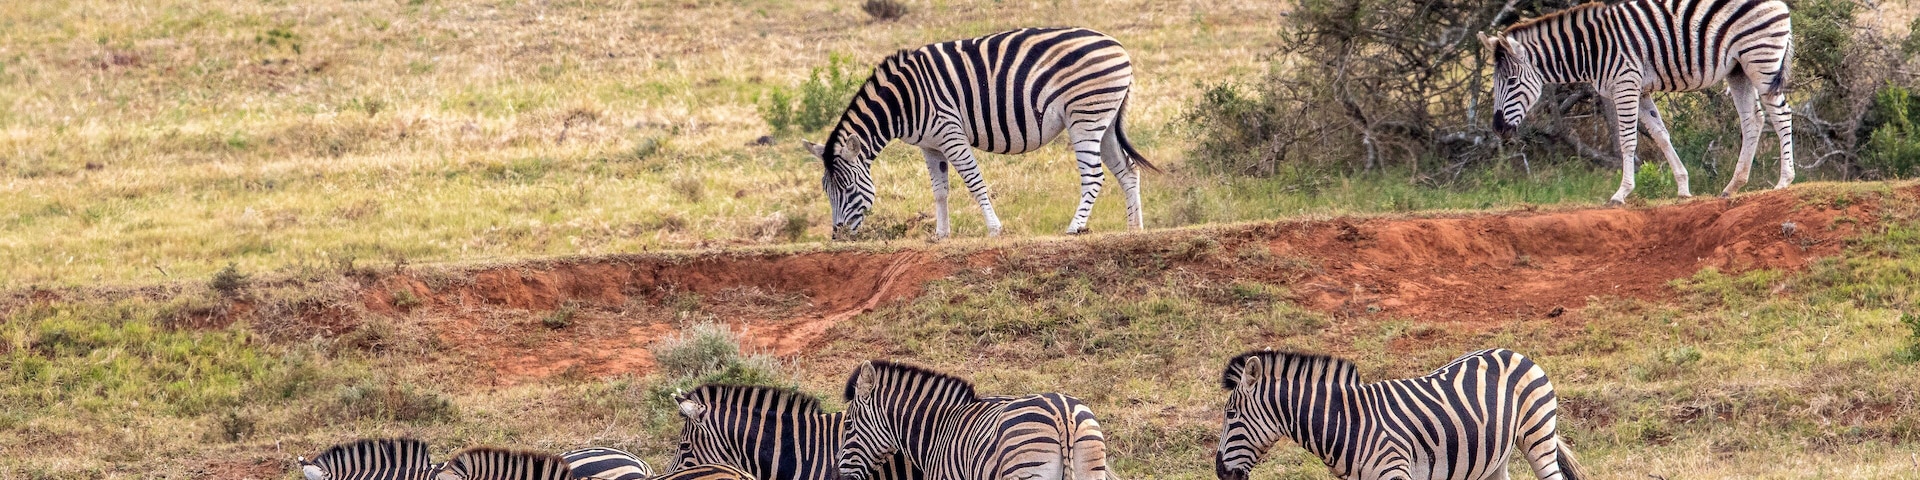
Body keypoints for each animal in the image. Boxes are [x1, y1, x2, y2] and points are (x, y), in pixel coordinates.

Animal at [804, 27, 1155, 239]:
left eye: (848, 188)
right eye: (827, 191)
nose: (837, 237)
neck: (903, 101)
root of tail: (1117, 45)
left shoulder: (950, 132)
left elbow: (974, 183)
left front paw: (995, 229)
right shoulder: (930, 146)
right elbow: (940, 191)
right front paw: (941, 235)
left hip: (1084, 116)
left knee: (1094, 175)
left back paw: (1075, 227)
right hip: (1104, 120)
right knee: (1128, 171)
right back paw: (1134, 228)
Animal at [1213, 349, 1585, 480]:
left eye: (1231, 415)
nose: (1220, 472)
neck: (1347, 424)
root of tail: (1513, 352)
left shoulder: (1395, 472)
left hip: (1537, 435)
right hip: (1494, 455)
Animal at [1482, 0, 1795, 204]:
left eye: (1512, 82)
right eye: (1496, 83)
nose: (1498, 129)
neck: (1590, 50)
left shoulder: (1626, 85)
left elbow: (1627, 141)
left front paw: (1621, 193)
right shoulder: (1641, 91)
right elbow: (1660, 134)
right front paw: (1683, 187)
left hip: (1761, 58)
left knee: (1781, 113)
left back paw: (1784, 181)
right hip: (1738, 69)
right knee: (1753, 120)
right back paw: (1733, 186)